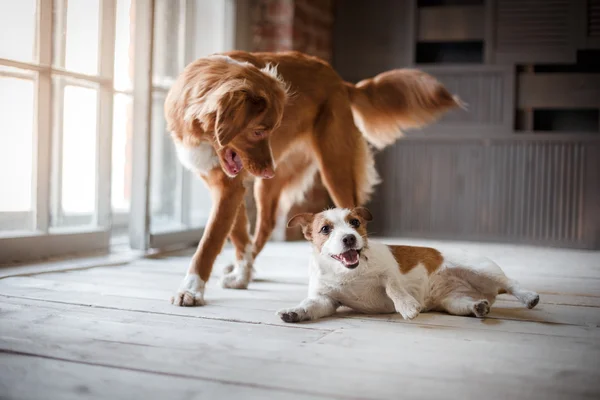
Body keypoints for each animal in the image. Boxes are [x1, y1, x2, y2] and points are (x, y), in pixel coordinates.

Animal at [164, 50, 460, 306]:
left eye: (271, 130)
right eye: (259, 131)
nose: (269, 170)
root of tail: (339, 80)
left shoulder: (230, 187)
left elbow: (209, 241)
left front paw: (191, 289)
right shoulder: (228, 186)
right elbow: (235, 235)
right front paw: (240, 275)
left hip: (333, 168)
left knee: (351, 215)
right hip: (271, 184)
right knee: (265, 226)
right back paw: (245, 268)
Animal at [278, 208, 540, 324]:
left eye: (355, 223)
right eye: (325, 229)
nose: (350, 238)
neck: (347, 273)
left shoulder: (389, 272)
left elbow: (393, 287)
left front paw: (406, 305)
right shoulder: (325, 300)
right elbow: (310, 305)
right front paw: (294, 312)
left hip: (482, 269)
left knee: (512, 283)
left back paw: (529, 297)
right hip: (453, 301)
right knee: (466, 304)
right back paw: (478, 307)